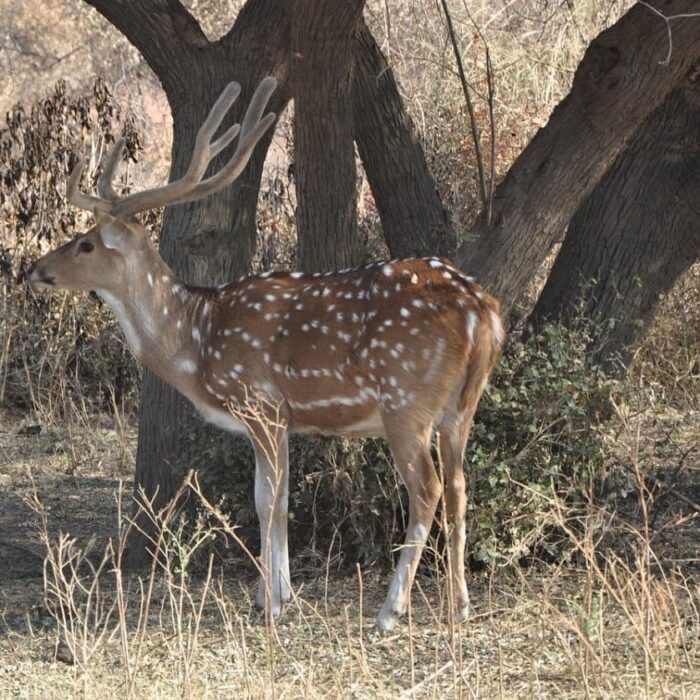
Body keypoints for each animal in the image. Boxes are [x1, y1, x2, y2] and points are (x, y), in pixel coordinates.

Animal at [27, 76, 505, 632]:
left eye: (85, 244)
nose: (35, 269)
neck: (197, 341)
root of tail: (483, 311)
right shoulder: (281, 419)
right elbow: (279, 497)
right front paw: (276, 593)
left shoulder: (260, 402)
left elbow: (266, 502)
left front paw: (273, 602)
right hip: (461, 406)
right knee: (459, 486)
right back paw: (460, 605)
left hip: (406, 401)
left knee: (426, 489)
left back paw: (390, 610)